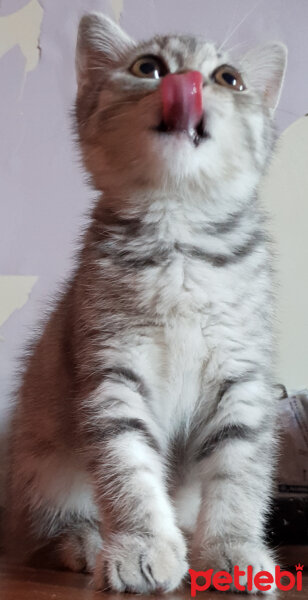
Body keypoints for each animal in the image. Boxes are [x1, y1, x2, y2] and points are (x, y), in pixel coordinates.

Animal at [4, 11, 288, 592]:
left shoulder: (243, 379)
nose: (189, 84)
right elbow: (128, 468)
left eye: (229, 78)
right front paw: (141, 546)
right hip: (40, 465)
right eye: (148, 68)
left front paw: (232, 548)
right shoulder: (111, 374)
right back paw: (86, 542)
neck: (178, 235)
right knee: (51, 530)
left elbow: (239, 471)